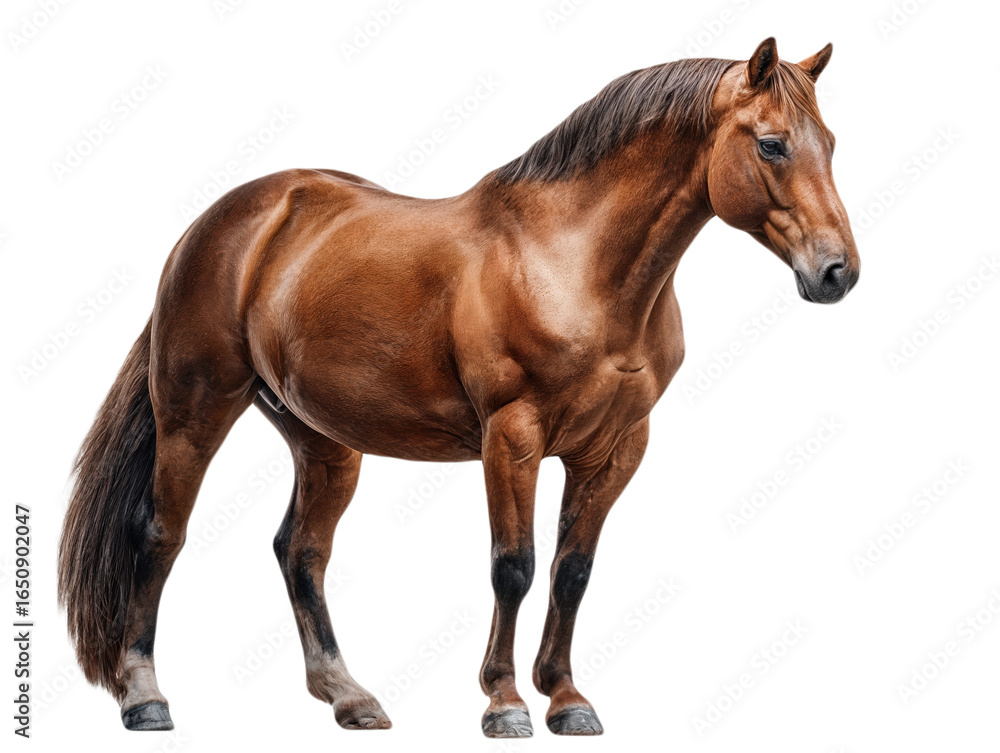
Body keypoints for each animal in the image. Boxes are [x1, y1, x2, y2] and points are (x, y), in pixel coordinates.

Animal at [58, 37, 858, 737]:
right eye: (772, 144)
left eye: (829, 142)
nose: (837, 272)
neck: (571, 260)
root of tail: (222, 221)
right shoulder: (512, 435)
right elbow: (515, 567)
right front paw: (504, 703)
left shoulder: (614, 450)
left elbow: (572, 571)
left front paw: (567, 698)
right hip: (195, 411)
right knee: (160, 534)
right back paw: (145, 696)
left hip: (324, 440)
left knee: (301, 550)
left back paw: (348, 695)